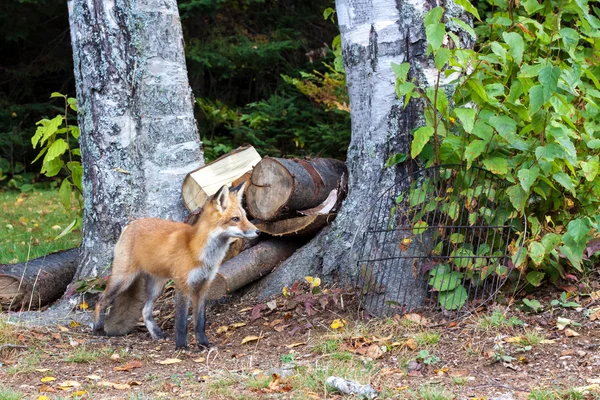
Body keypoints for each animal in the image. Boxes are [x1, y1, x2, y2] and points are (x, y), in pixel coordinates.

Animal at [93, 183, 258, 348]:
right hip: (124, 279)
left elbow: (200, 321)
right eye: (235, 219)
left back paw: (156, 334)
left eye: (245, 217)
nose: (257, 231)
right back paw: (97, 329)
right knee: (101, 299)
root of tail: (130, 225)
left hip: (156, 286)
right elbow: (181, 320)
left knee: (145, 311)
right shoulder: (183, 285)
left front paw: (203, 343)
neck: (199, 252)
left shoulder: (204, 286)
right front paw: (181, 346)